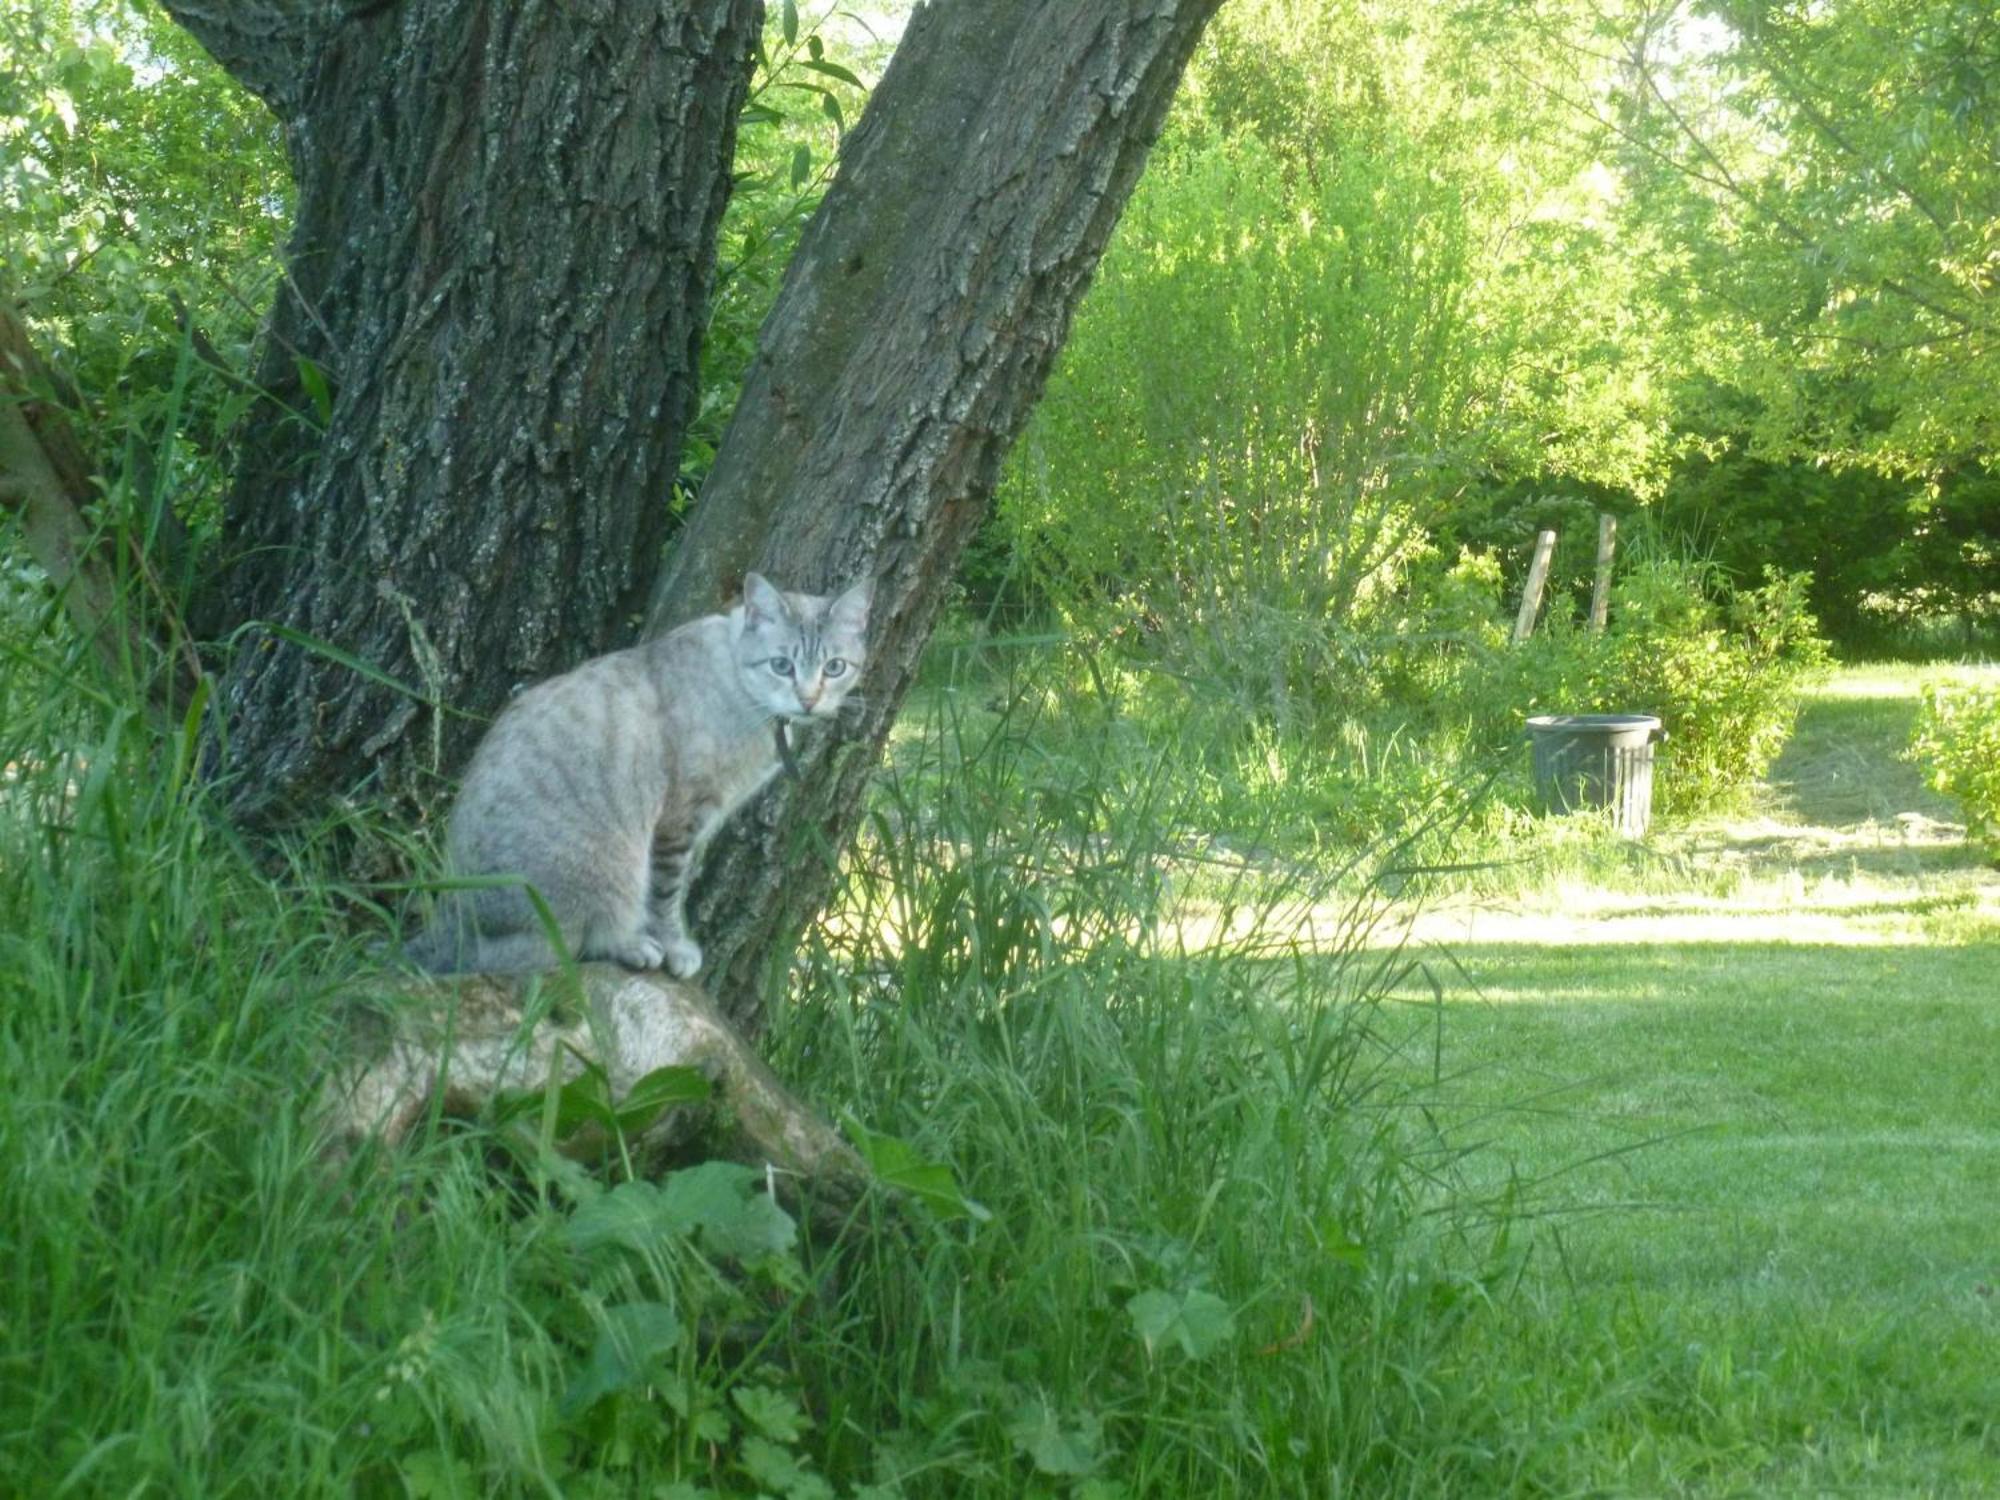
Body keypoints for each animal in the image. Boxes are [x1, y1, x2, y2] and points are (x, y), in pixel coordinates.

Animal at [402, 572, 872, 976]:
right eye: (781, 665)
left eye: (834, 668)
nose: (808, 700)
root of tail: (448, 930)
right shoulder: (679, 820)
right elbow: (666, 898)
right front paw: (676, 948)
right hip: (611, 868)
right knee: (562, 948)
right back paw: (634, 947)